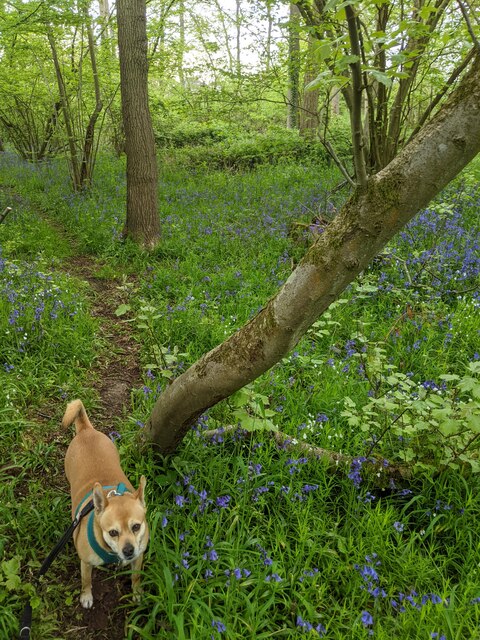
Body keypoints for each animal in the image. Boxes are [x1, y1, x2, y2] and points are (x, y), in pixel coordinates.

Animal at [62, 400, 148, 608]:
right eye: (113, 532)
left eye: (136, 527)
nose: (128, 550)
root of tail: (86, 429)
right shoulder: (85, 563)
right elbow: (86, 580)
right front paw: (86, 596)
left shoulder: (138, 556)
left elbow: (136, 576)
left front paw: (137, 592)